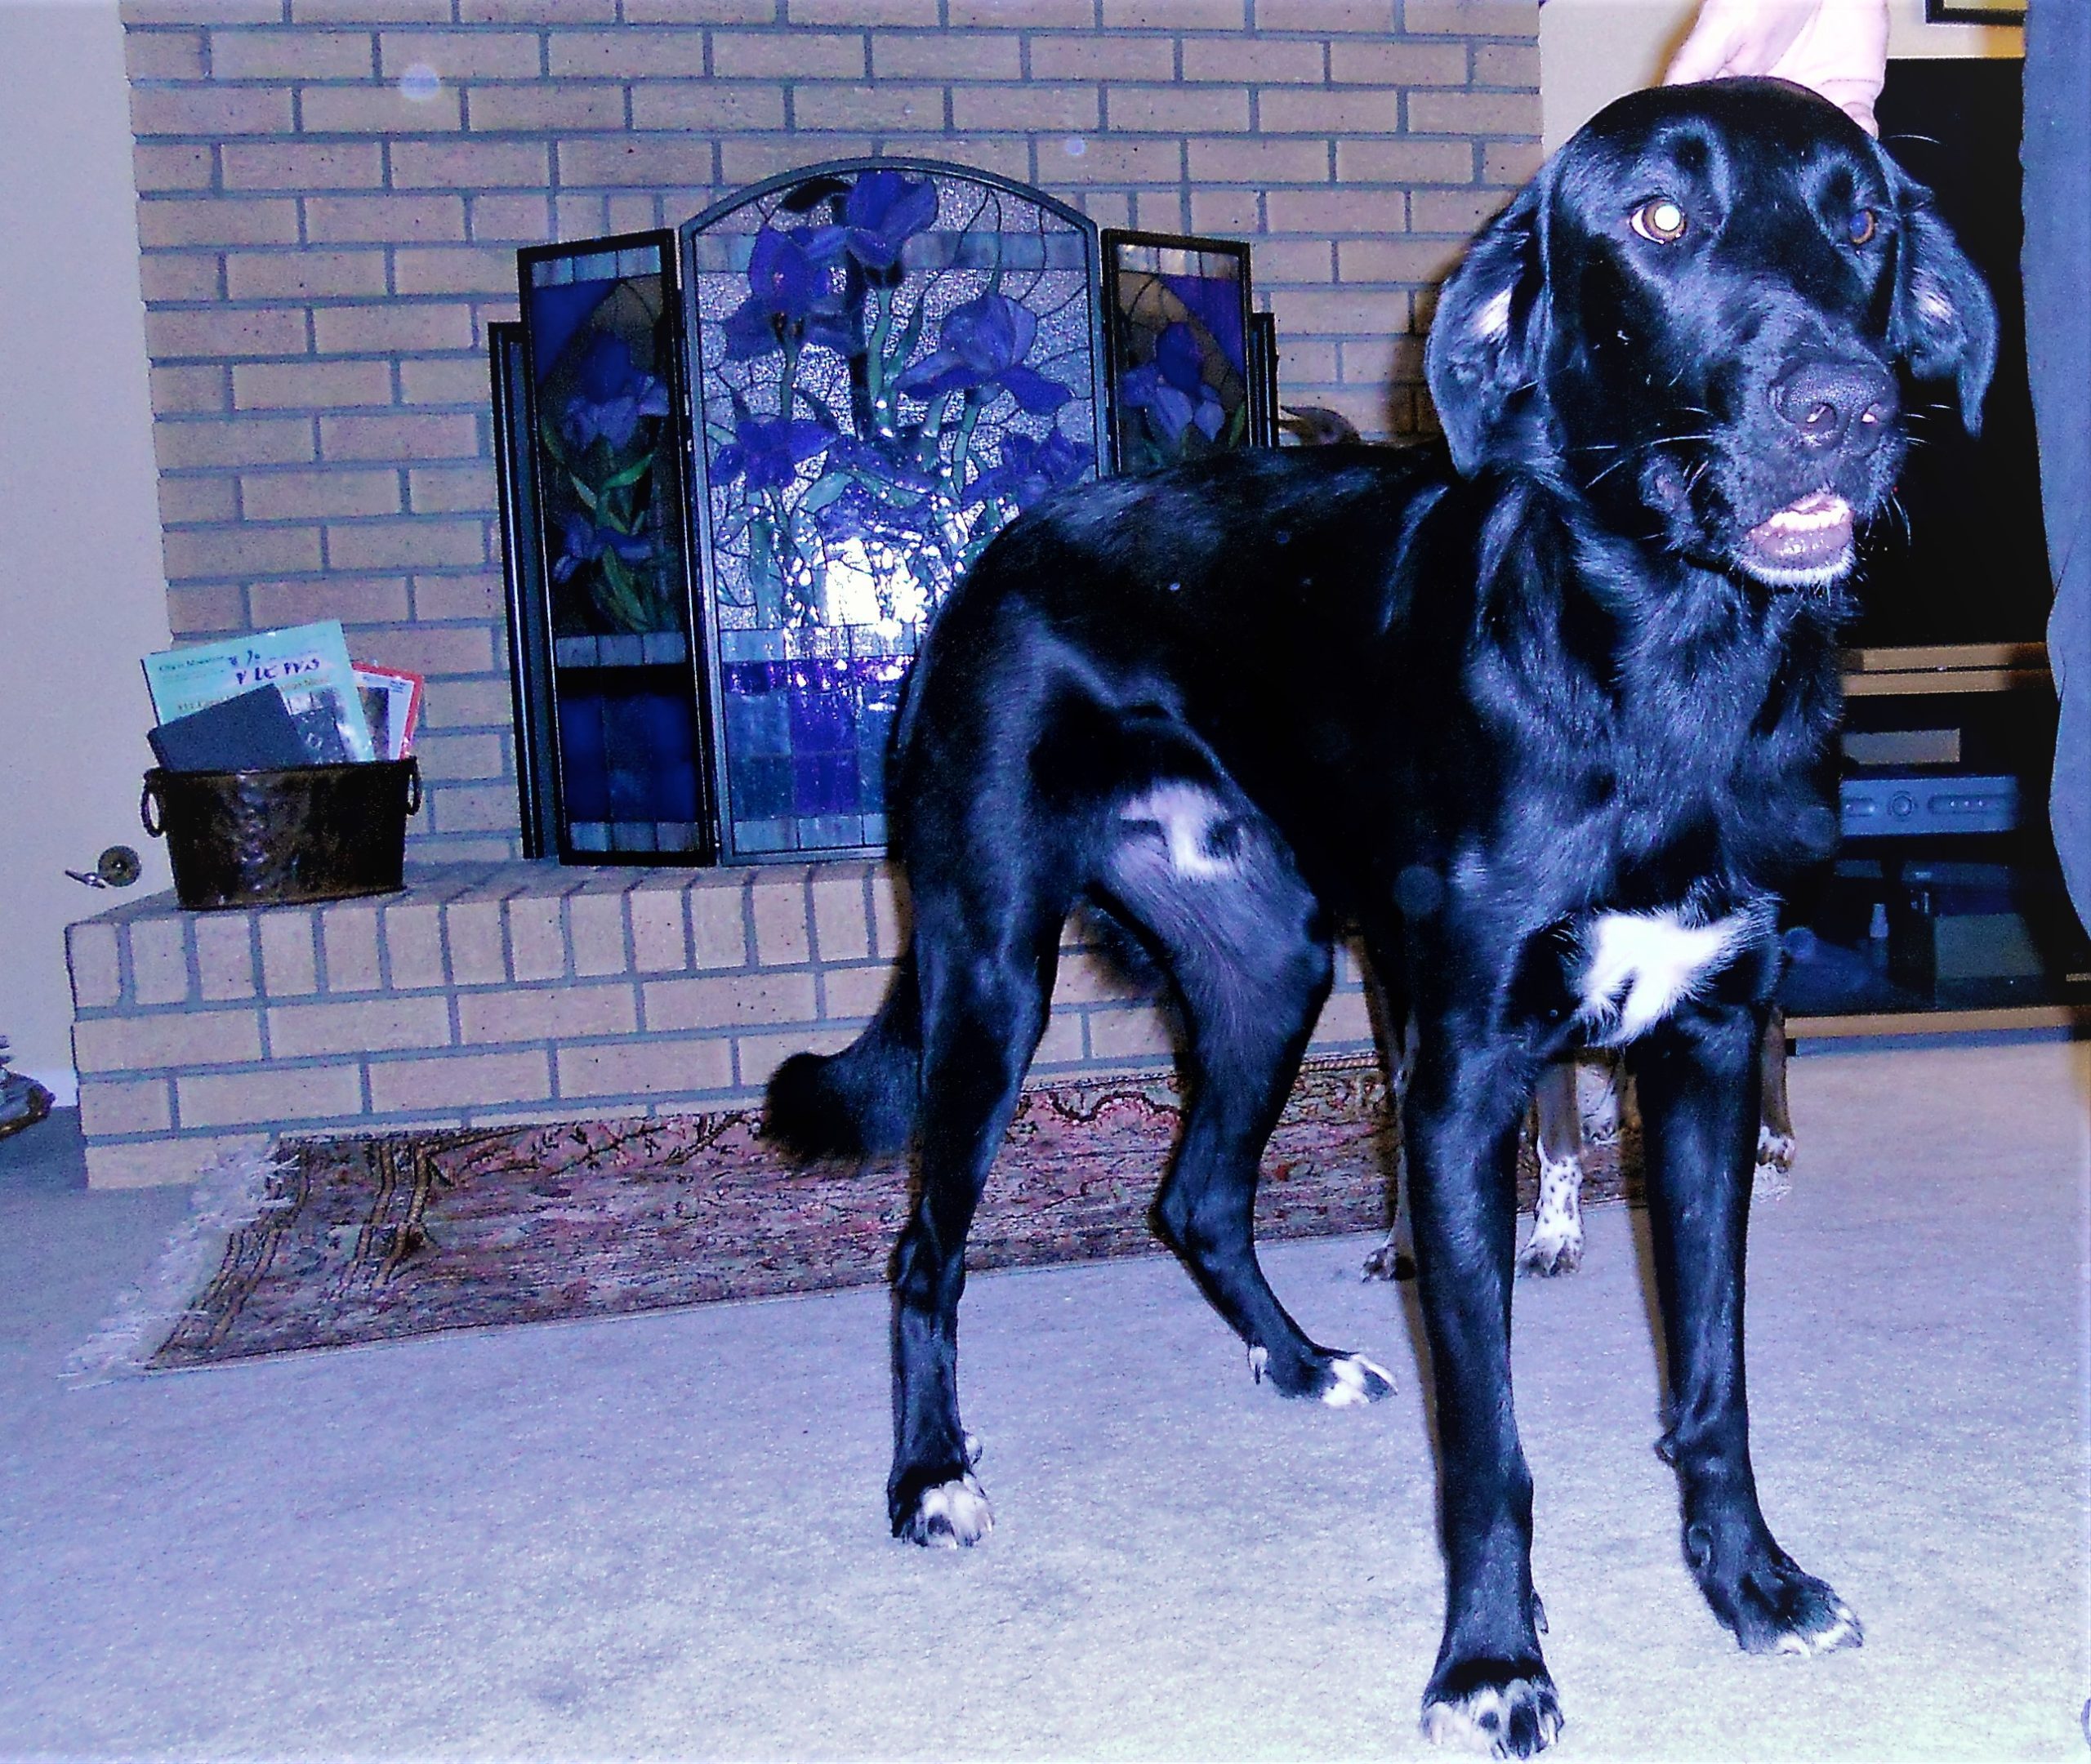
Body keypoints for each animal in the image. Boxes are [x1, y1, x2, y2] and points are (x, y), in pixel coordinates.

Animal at [769, 79, 1991, 1747]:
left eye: (1862, 216)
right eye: (1659, 219)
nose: (1846, 408)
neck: (1664, 672)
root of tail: (985, 556)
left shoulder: (1713, 1045)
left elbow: (1713, 1384)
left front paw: (1749, 1584)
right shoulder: (1462, 1083)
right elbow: (1489, 1444)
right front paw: (1492, 1662)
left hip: (1268, 968)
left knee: (1194, 1197)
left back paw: (1297, 1368)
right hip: (991, 975)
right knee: (922, 1250)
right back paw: (931, 1477)